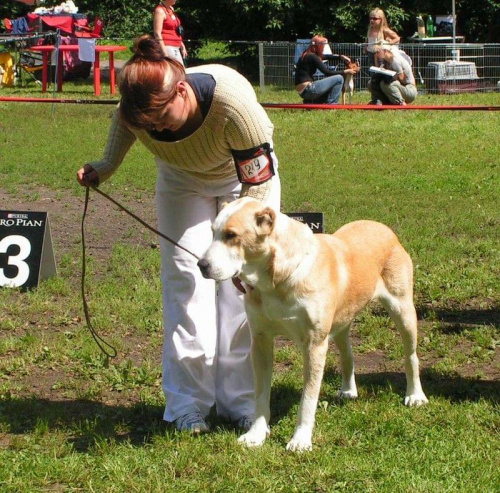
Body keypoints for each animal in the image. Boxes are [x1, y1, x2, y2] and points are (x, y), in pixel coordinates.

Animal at [197, 196, 428, 450]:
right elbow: (260, 395)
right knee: (348, 355)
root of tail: (384, 228)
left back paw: (415, 395)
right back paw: (348, 391)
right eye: (212, 232)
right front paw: (256, 434)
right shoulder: (260, 340)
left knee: (411, 357)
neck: (277, 278)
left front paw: (300, 440)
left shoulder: (314, 344)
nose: (201, 265)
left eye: (231, 235)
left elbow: (307, 398)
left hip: (403, 311)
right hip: (341, 322)